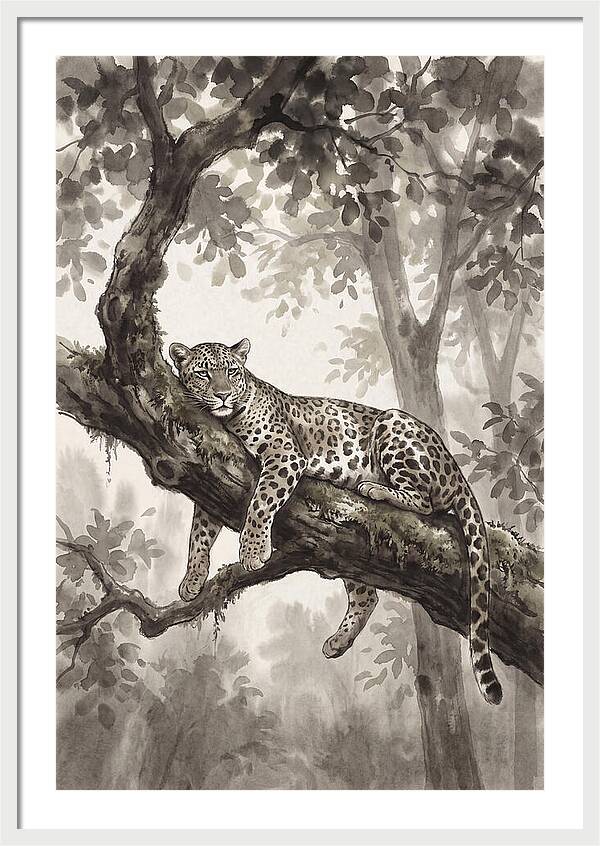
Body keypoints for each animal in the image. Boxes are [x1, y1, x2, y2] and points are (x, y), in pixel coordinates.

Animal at [169, 337, 502, 705]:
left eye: (231, 371)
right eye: (203, 373)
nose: (224, 395)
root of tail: (456, 470)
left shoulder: (284, 454)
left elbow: (260, 502)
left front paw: (254, 551)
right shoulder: (214, 473)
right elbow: (199, 532)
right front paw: (192, 579)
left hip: (392, 424)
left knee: (425, 502)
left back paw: (374, 487)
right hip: (347, 553)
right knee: (367, 596)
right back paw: (338, 642)